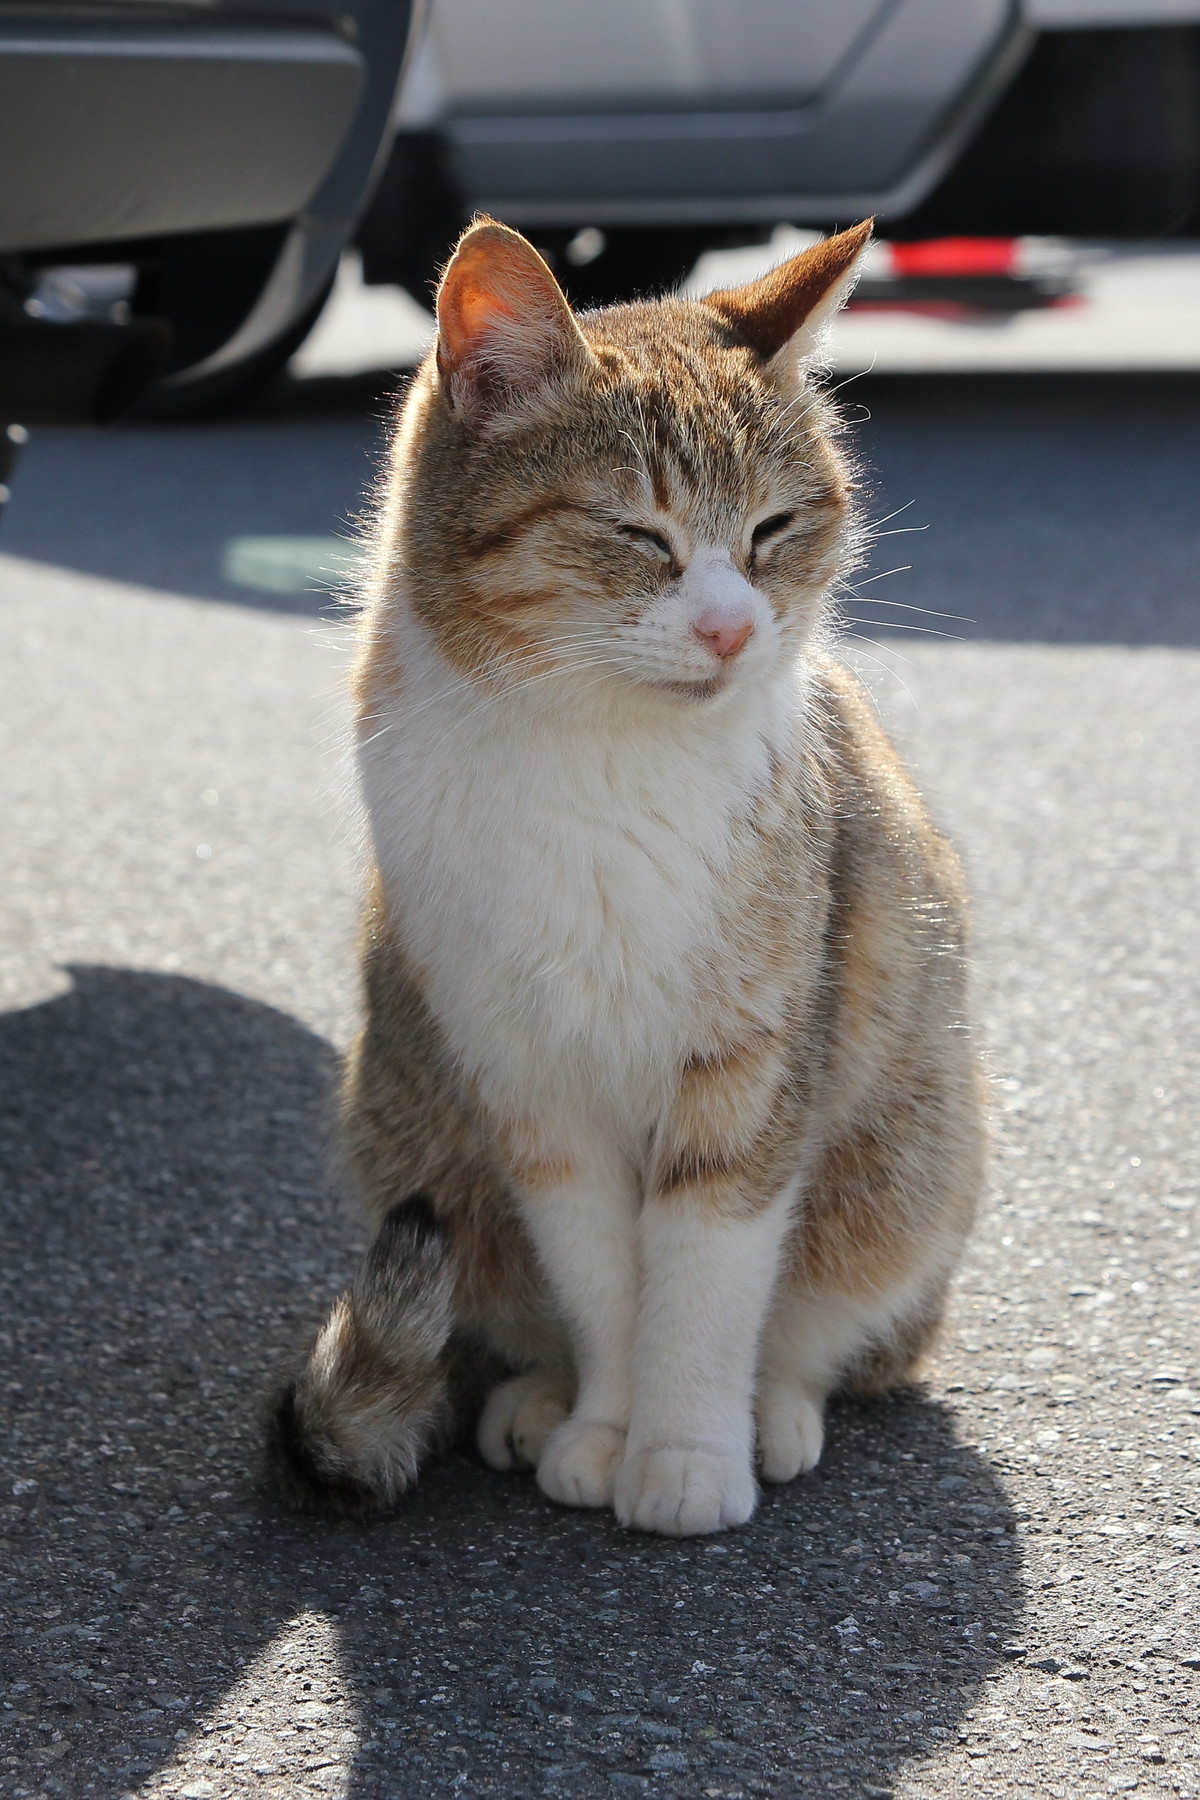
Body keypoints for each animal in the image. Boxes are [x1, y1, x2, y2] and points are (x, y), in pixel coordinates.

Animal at [268, 210, 993, 1533]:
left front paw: (688, 1452)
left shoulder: (751, 1062)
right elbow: (604, 1279)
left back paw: (774, 1412)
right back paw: (538, 1399)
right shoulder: (530, 1083)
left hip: (916, 1165)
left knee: (840, 1331)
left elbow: (706, 1279)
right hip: (405, 1124)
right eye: (636, 534)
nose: (731, 628)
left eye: (772, 530)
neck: (598, 751)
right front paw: (608, 1427)